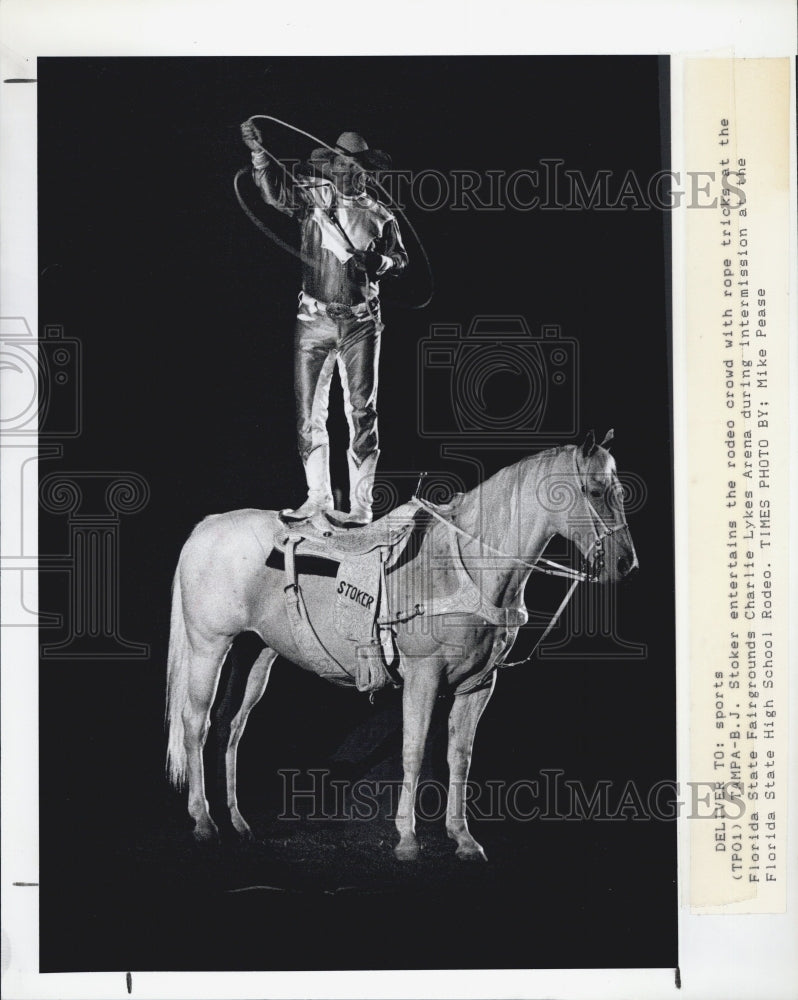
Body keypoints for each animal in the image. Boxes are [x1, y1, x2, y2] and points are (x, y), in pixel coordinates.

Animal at [167, 430, 636, 860]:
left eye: (619, 491)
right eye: (596, 491)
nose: (625, 563)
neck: (462, 566)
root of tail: (205, 529)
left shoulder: (479, 685)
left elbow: (460, 757)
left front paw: (463, 839)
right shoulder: (423, 678)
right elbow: (414, 751)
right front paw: (407, 840)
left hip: (254, 655)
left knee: (230, 728)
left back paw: (238, 823)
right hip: (210, 647)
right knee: (196, 724)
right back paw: (204, 823)